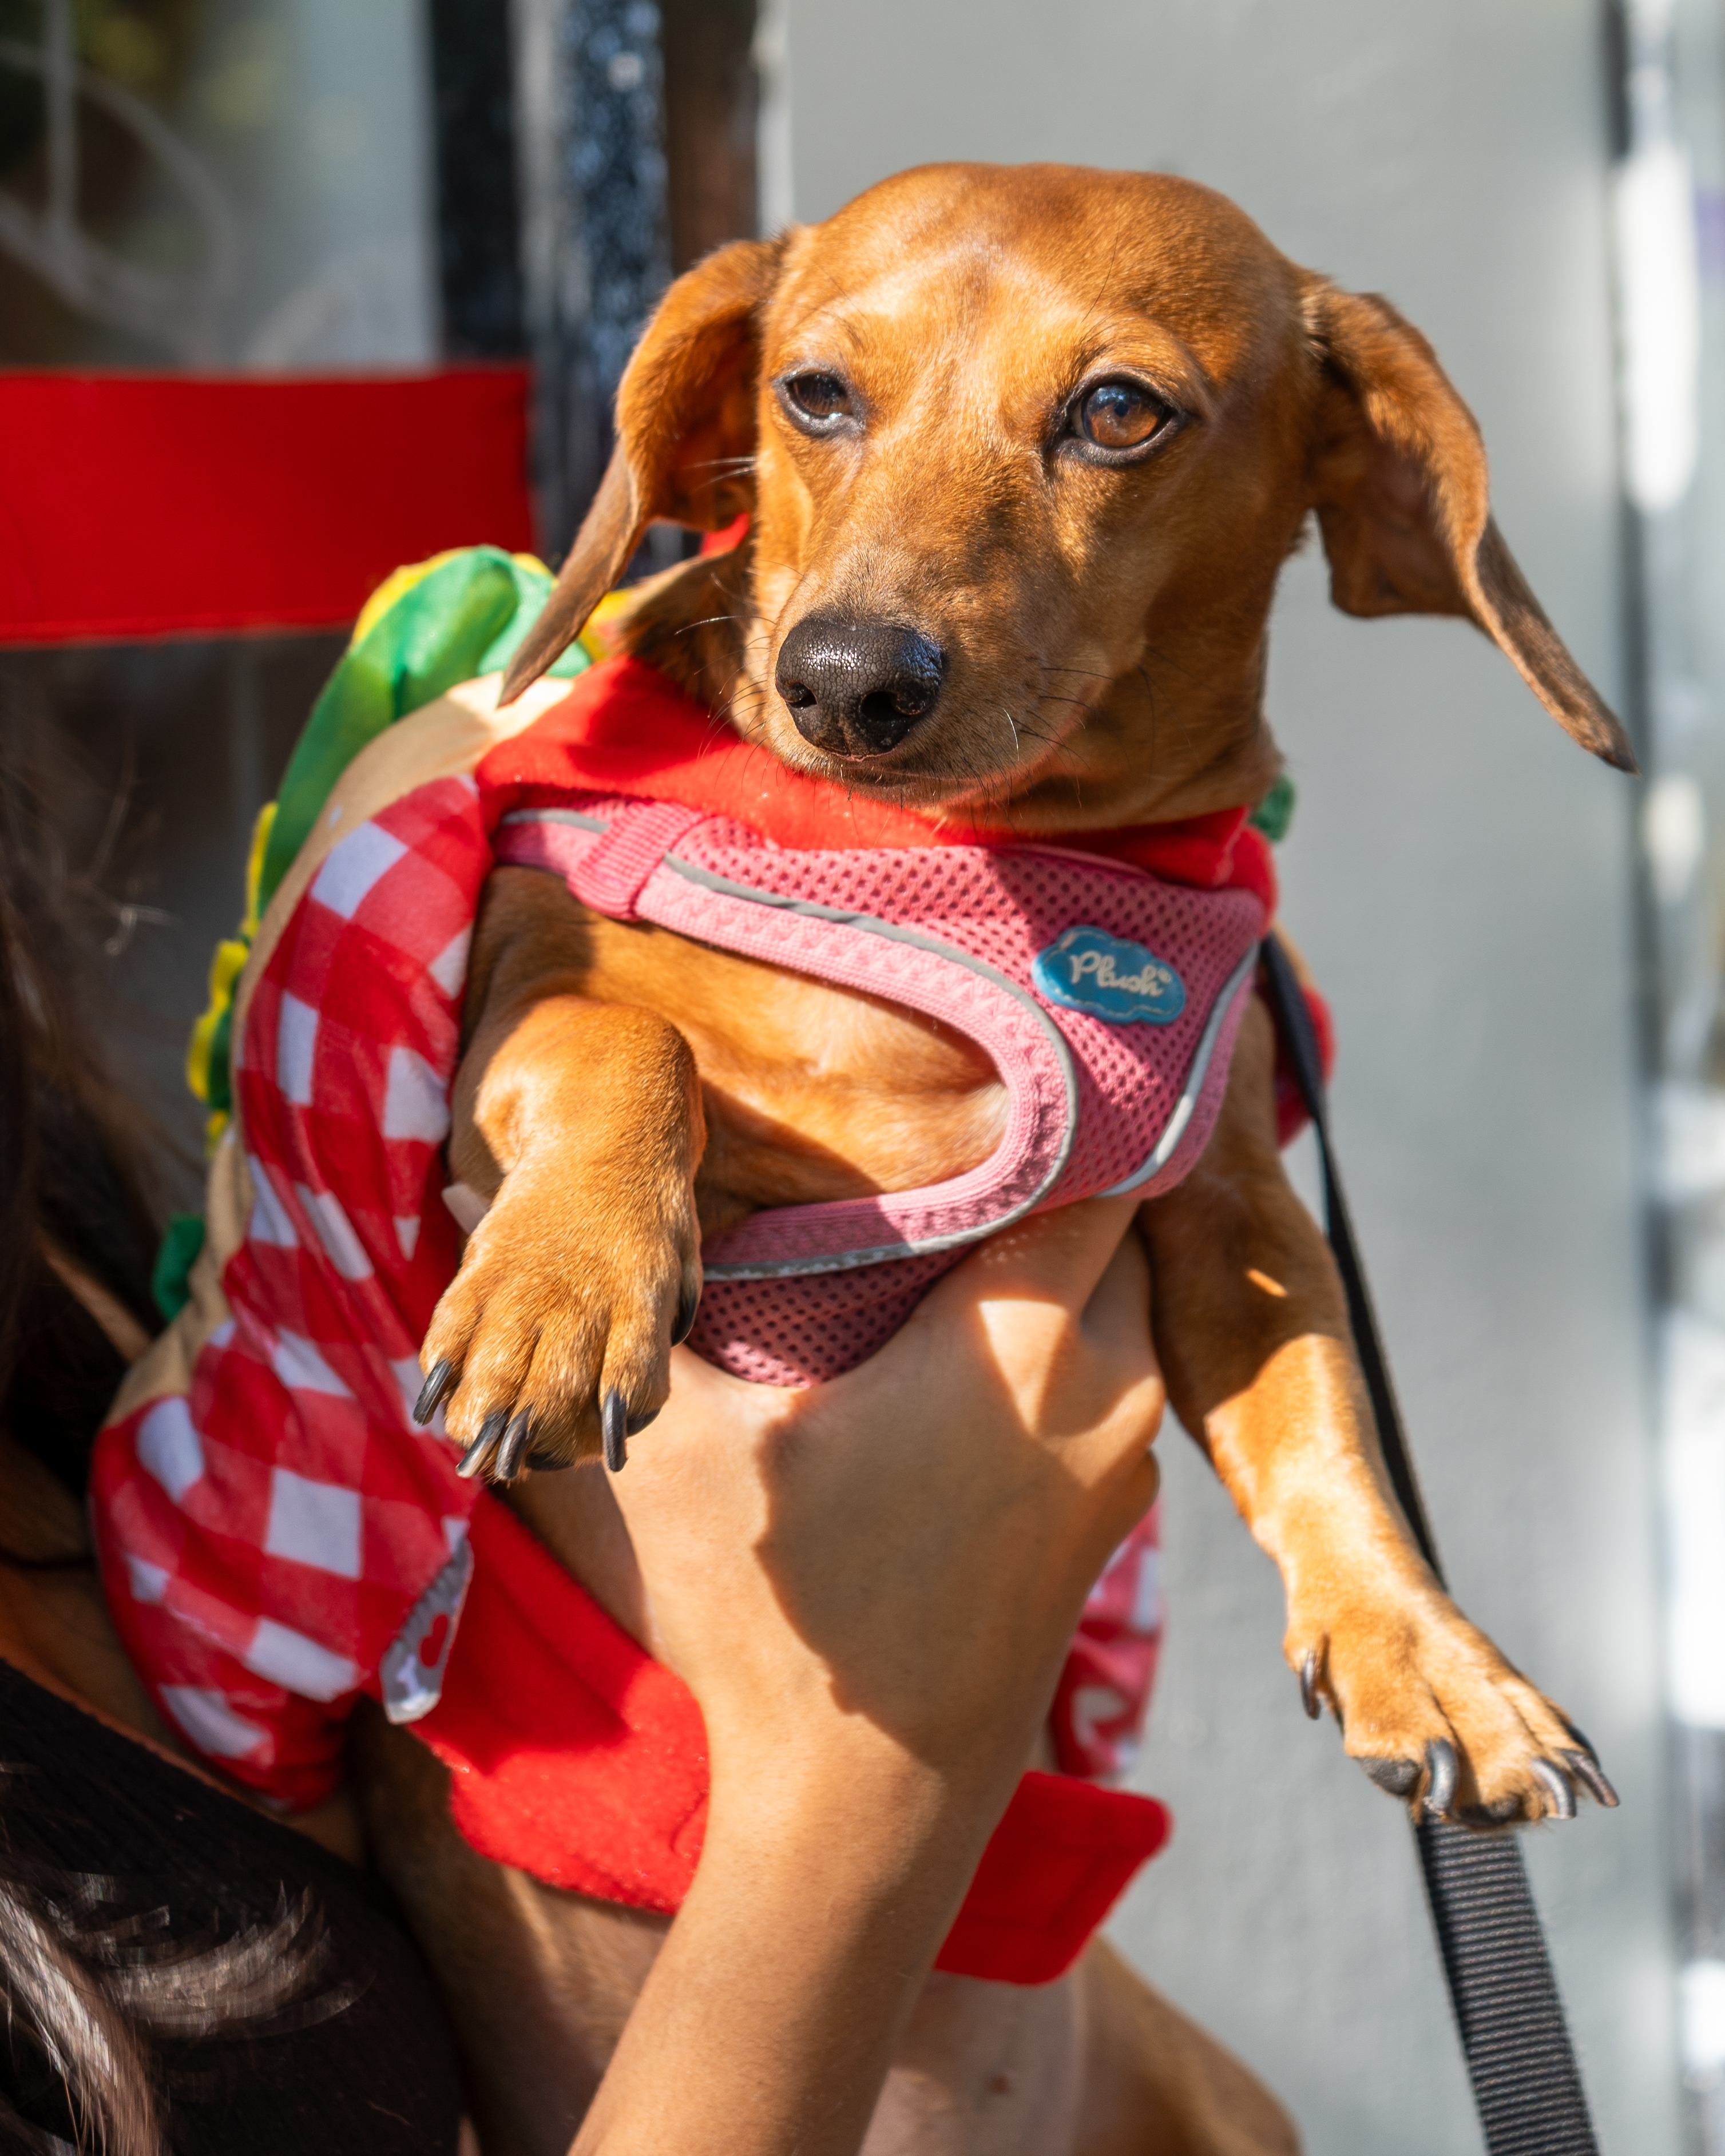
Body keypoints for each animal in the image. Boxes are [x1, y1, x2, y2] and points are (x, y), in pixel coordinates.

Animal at [372, 159, 1621, 2147]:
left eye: (1117, 411)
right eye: (814, 394)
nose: (842, 676)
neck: (967, 870)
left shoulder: (1227, 1205)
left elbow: (1322, 1424)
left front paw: (1427, 1647)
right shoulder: (526, 986)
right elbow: (634, 1043)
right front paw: (561, 1293)